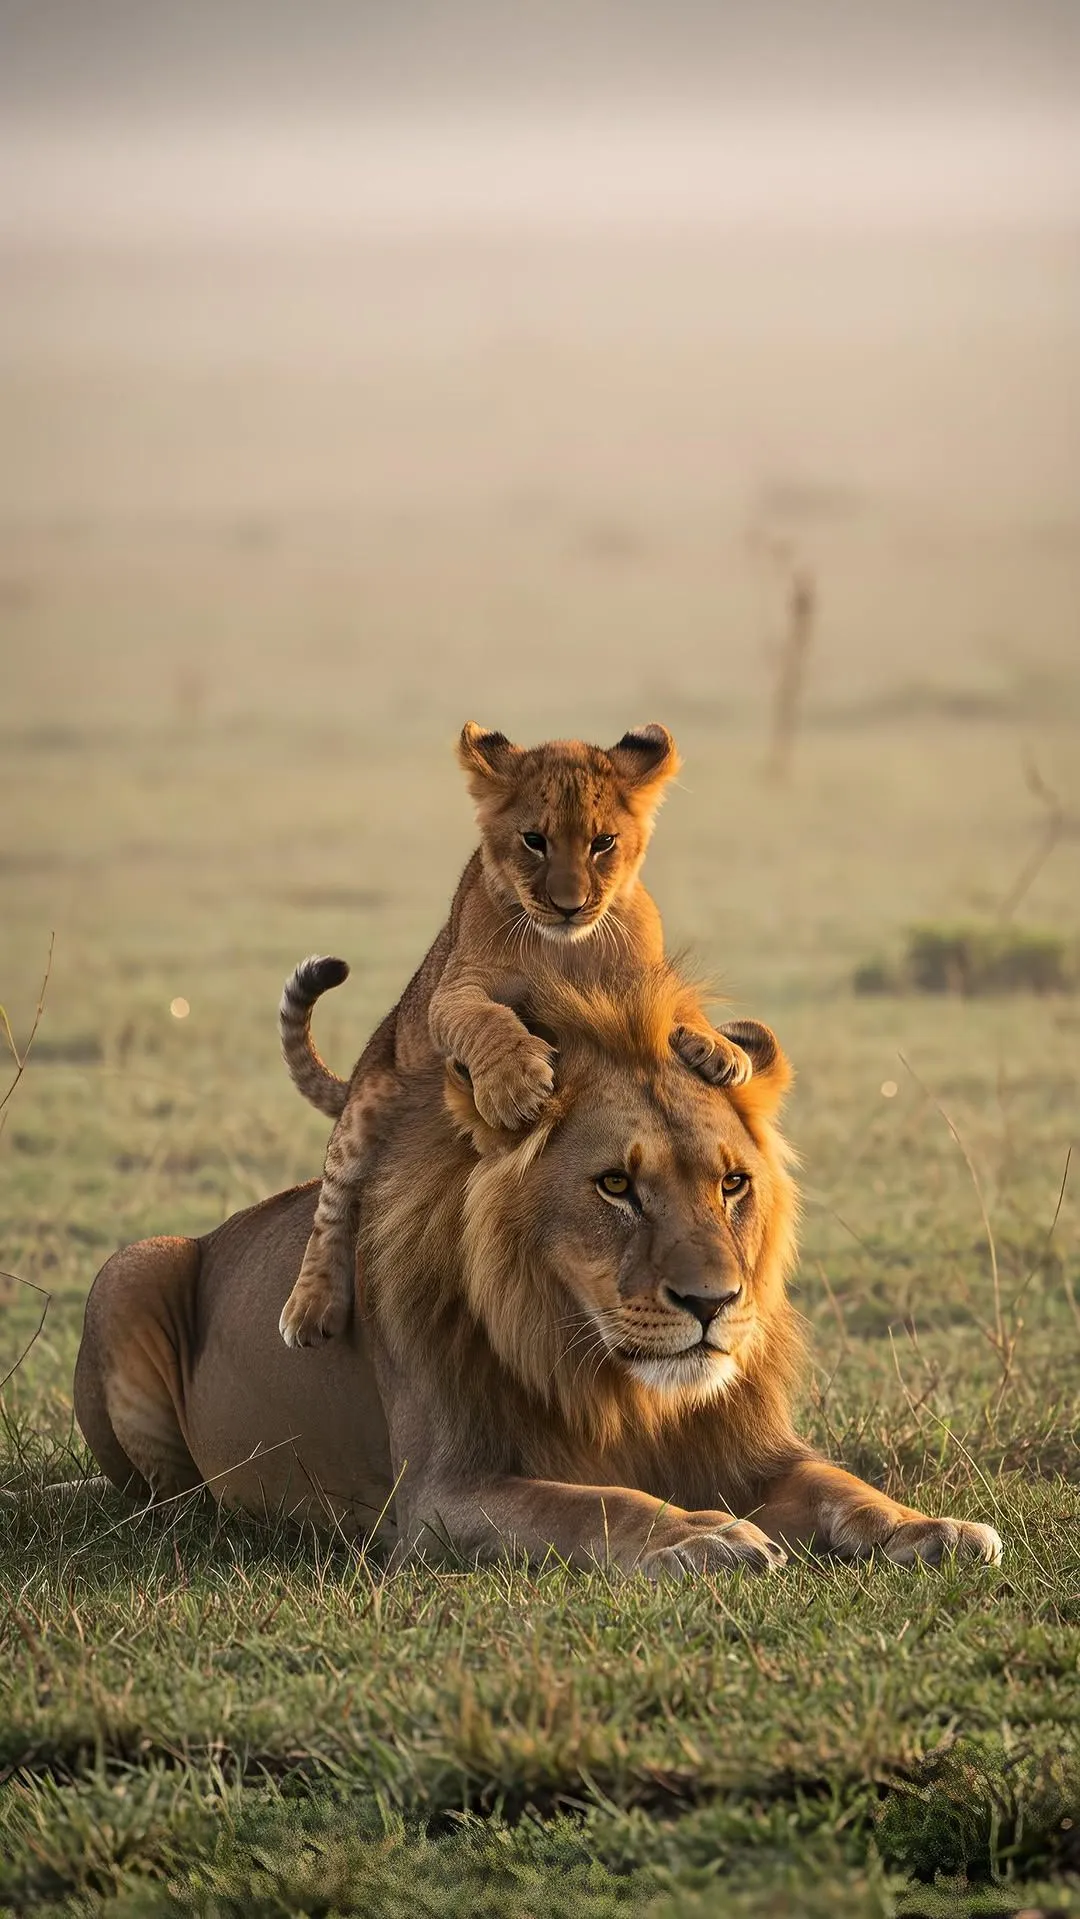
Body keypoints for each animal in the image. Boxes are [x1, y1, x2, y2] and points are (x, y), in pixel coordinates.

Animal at [74, 962, 1002, 1575]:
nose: (712, 1303)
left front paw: (932, 1528)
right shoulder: (441, 1498)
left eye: (732, 1183)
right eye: (616, 1185)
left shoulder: (752, 1449)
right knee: (165, 1496)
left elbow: (840, 1481)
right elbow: (595, 1501)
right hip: (132, 1265)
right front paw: (701, 1535)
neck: (625, 1392)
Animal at [276, 721, 752, 1351]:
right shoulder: (454, 991)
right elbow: (487, 1020)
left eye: (603, 842)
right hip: (368, 1108)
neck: (567, 947)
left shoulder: (644, 985)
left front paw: (720, 1051)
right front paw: (516, 1085)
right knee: (331, 1206)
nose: (570, 906)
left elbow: (683, 1010)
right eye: (534, 840)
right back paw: (310, 1308)